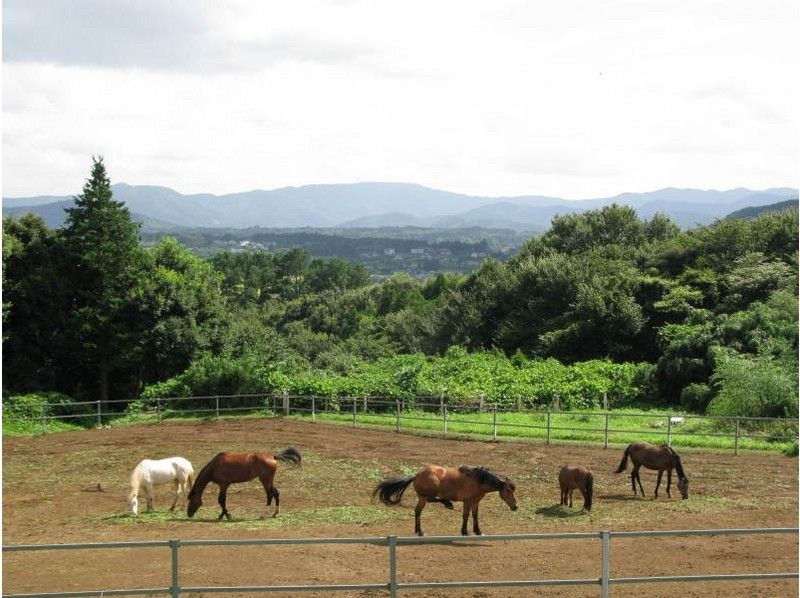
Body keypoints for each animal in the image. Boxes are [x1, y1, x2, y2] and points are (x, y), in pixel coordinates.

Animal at [370, 464, 520, 540]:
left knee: (417, 511)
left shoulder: (476, 501)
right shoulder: (467, 501)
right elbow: (466, 516)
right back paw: (447, 504)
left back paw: (419, 531)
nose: (515, 506)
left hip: (421, 499)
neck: (478, 480)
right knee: (431, 500)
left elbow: (475, 516)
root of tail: (416, 476)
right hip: (426, 496)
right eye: (508, 490)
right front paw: (464, 532)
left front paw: (478, 531)